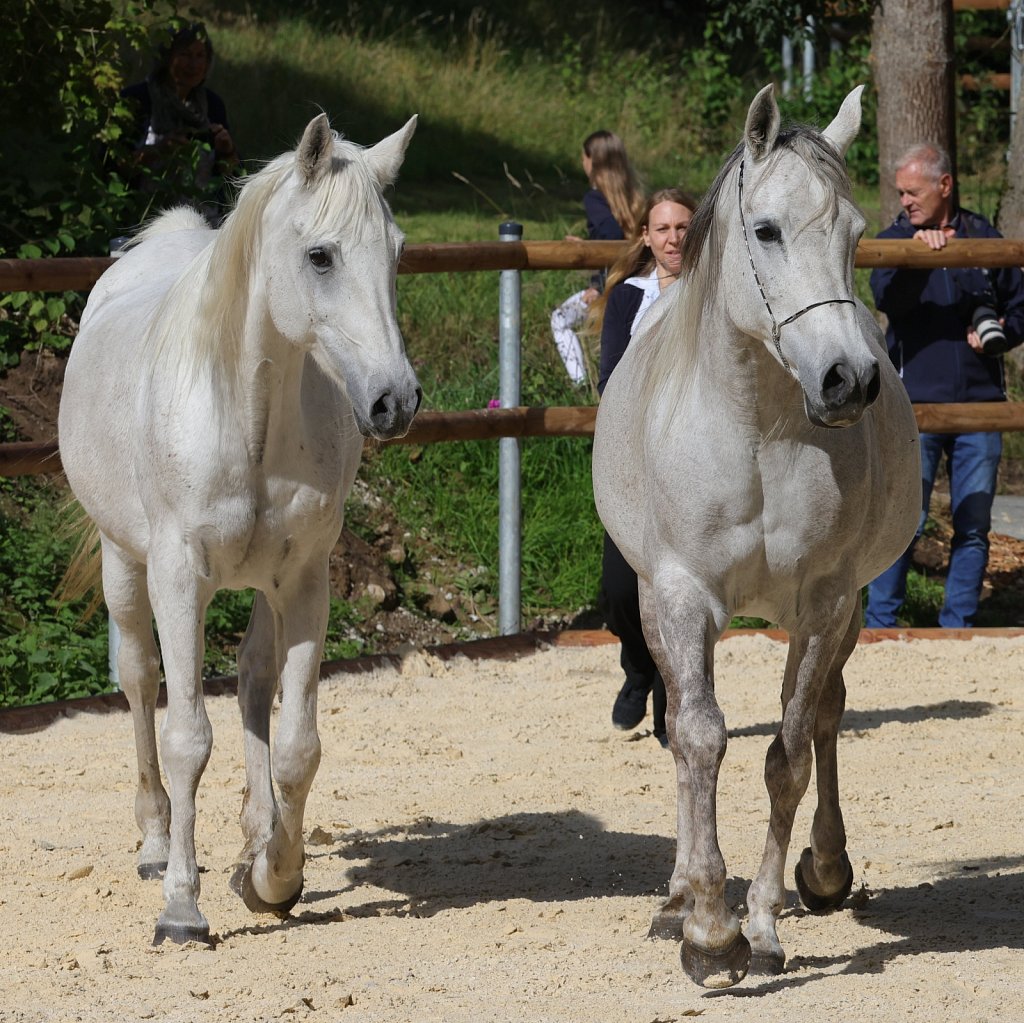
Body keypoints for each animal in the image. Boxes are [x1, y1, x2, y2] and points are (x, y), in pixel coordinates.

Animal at [58, 113, 422, 946]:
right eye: (320, 255)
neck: (244, 411)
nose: (395, 400)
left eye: (396, 252)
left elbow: (297, 746)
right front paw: (182, 906)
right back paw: (156, 843)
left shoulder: (306, 579)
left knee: (254, 681)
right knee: (140, 679)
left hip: (264, 582)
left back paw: (255, 839)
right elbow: (187, 735)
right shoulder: (177, 577)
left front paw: (273, 874)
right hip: (126, 567)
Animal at [592, 85, 920, 988]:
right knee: (679, 726)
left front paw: (763, 924)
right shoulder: (680, 595)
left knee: (829, 713)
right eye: (766, 229)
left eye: (855, 233)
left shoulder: (825, 602)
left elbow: (790, 752)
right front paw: (709, 928)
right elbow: (700, 737)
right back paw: (676, 896)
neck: (758, 431)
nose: (849, 379)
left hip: (846, 613)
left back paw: (827, 868)